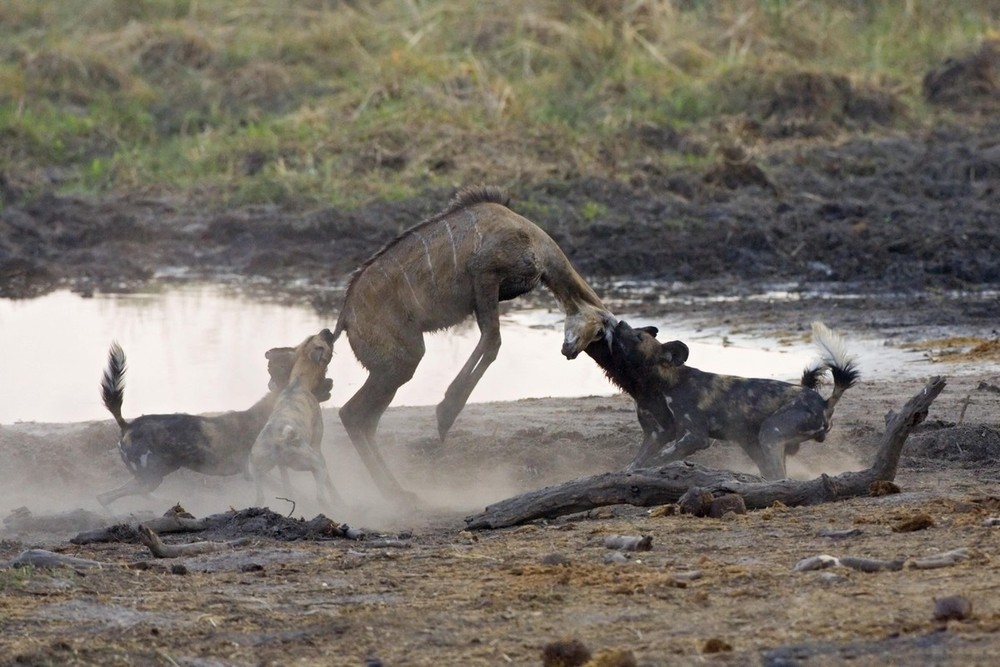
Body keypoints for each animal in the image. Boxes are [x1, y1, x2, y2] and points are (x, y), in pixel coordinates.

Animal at [97, 336, 334, 508]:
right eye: (320, 378)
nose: (332, 381)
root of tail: (127, 425)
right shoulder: (253, 472)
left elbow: (290, 488)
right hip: (152, 478)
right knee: (112, 496)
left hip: (151, 477)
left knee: (109, 496)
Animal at [250, 330, 344, 512]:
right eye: (324, 342)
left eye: (310, 337)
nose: (327, 330)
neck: (299, 382)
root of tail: (280, 440)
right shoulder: (317, 448)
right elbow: (330, 483)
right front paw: (339, 500)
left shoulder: (282, 468)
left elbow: (287, 486)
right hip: (315, 464)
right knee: (321, 496)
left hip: (256, 471)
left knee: (260, 498)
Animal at [334, 185, 616, 504]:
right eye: (599, 331)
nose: (569, 352)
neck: (535, 242)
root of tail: (345, 318)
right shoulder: (484, 274)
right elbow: (493, 340)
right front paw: (445, 413)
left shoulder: (485, 294)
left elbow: (490, 340)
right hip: (401, 362)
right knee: (353, 413)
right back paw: (393, 493)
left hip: (394, 369)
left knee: (362, 417)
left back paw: (398, 492)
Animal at [584, 320, 860, 480]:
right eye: (637, 330)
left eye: (638, 338)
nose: (619, 322)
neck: (666, 382)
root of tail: (823, 403)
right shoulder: (656, 434)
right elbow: (636, 462)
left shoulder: (694, 437)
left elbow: (658, 458)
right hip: (755, 443)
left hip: (770, 434)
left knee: (780, 475)